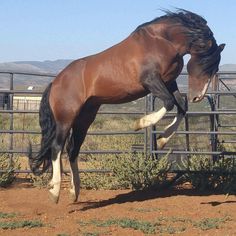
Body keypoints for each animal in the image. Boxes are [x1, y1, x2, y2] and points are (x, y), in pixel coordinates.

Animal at [28, 8, 225, 202]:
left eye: (214, 68)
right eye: (205, 64)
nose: (197, 97)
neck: (162, 41)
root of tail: (55, 82)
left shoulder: (169, 82)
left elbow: (182, 107)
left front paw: (162, 139)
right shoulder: (150, 81)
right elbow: (169, 103)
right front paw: (141, 123)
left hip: (84, 118)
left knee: (72, 149)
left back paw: (74, 191)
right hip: (66, 118)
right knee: (57, 147)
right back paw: (55, 191)